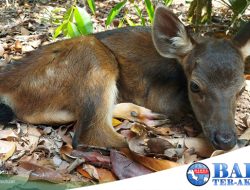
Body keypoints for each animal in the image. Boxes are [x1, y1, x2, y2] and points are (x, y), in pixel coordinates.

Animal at [0, 5, 249, 151]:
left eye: (241, 88)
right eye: (195, 86)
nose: (226, 140)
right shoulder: (160, 97)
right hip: (94, 56)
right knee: (94, 134)